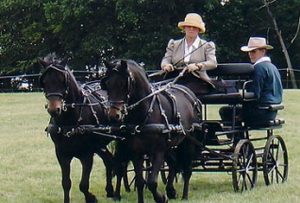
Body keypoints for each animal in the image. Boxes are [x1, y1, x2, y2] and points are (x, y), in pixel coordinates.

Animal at [39, 54, 114, 203]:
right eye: (44, 81)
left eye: (63, 80)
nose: (53, 109)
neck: (70, 122)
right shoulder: (62, 154)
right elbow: (66, 183)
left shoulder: (87, 154)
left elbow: (83, 185)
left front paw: (91, 198)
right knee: (109, 160)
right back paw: (110, 191)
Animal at [102, 59, 203, 203]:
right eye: (107, 84)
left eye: (123, 84)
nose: (113, 115)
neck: (145, 113)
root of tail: (193, 97)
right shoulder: (136, 152)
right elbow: (140, 181)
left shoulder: (158, 151)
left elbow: (151, 182)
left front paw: (161, 198)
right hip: (170, 146)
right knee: (173, 164)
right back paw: (171, 191)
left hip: (189, 142)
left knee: (187, 169)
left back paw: (184, 196)